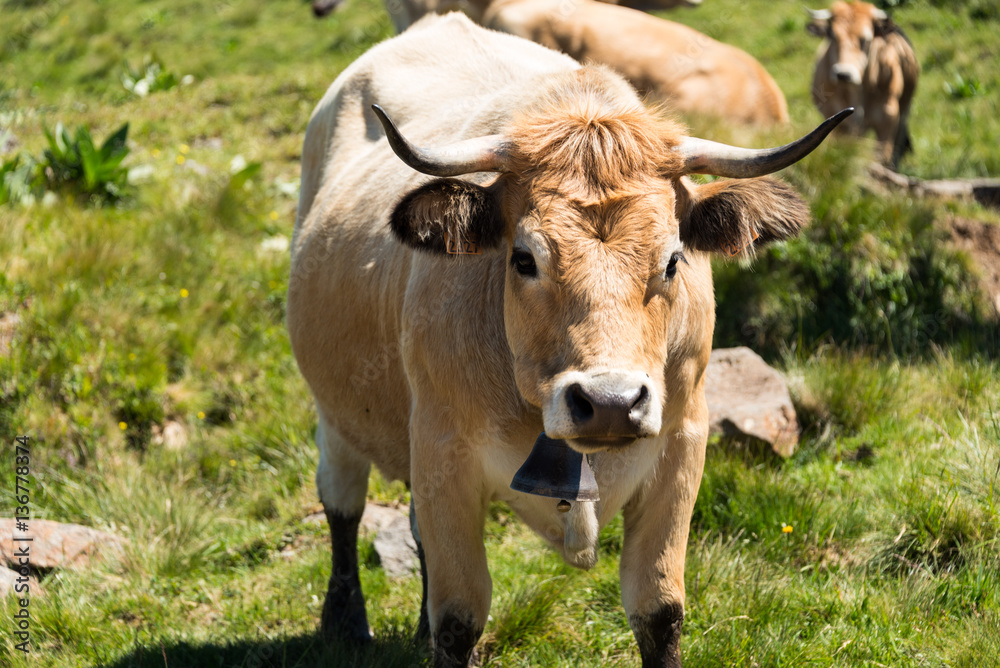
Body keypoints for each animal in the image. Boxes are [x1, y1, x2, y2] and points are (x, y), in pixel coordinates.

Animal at [808, 0, 916, 167]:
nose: (843, 74)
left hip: (904, 111)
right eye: (832, 35)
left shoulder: (888, 119)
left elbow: (883, 156)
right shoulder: (838, 125)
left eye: (866, 39)